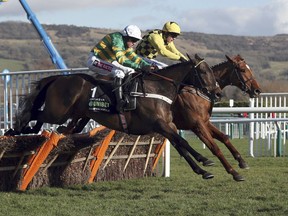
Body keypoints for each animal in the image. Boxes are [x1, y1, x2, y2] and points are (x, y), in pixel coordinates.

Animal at [5, 54, 220, 180]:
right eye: (203, 71)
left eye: (211, 71)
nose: (217, 93)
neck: (158, 88)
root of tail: (59, 78)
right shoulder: (160, 124)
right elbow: (183, 143)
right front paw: (205, 160)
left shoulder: (166, 126)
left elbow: (181, 146)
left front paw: (203, 170)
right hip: (57, 112)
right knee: (35, 113)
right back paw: (16, 129)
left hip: (72, 115)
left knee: (53, 123)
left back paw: (28, 130)